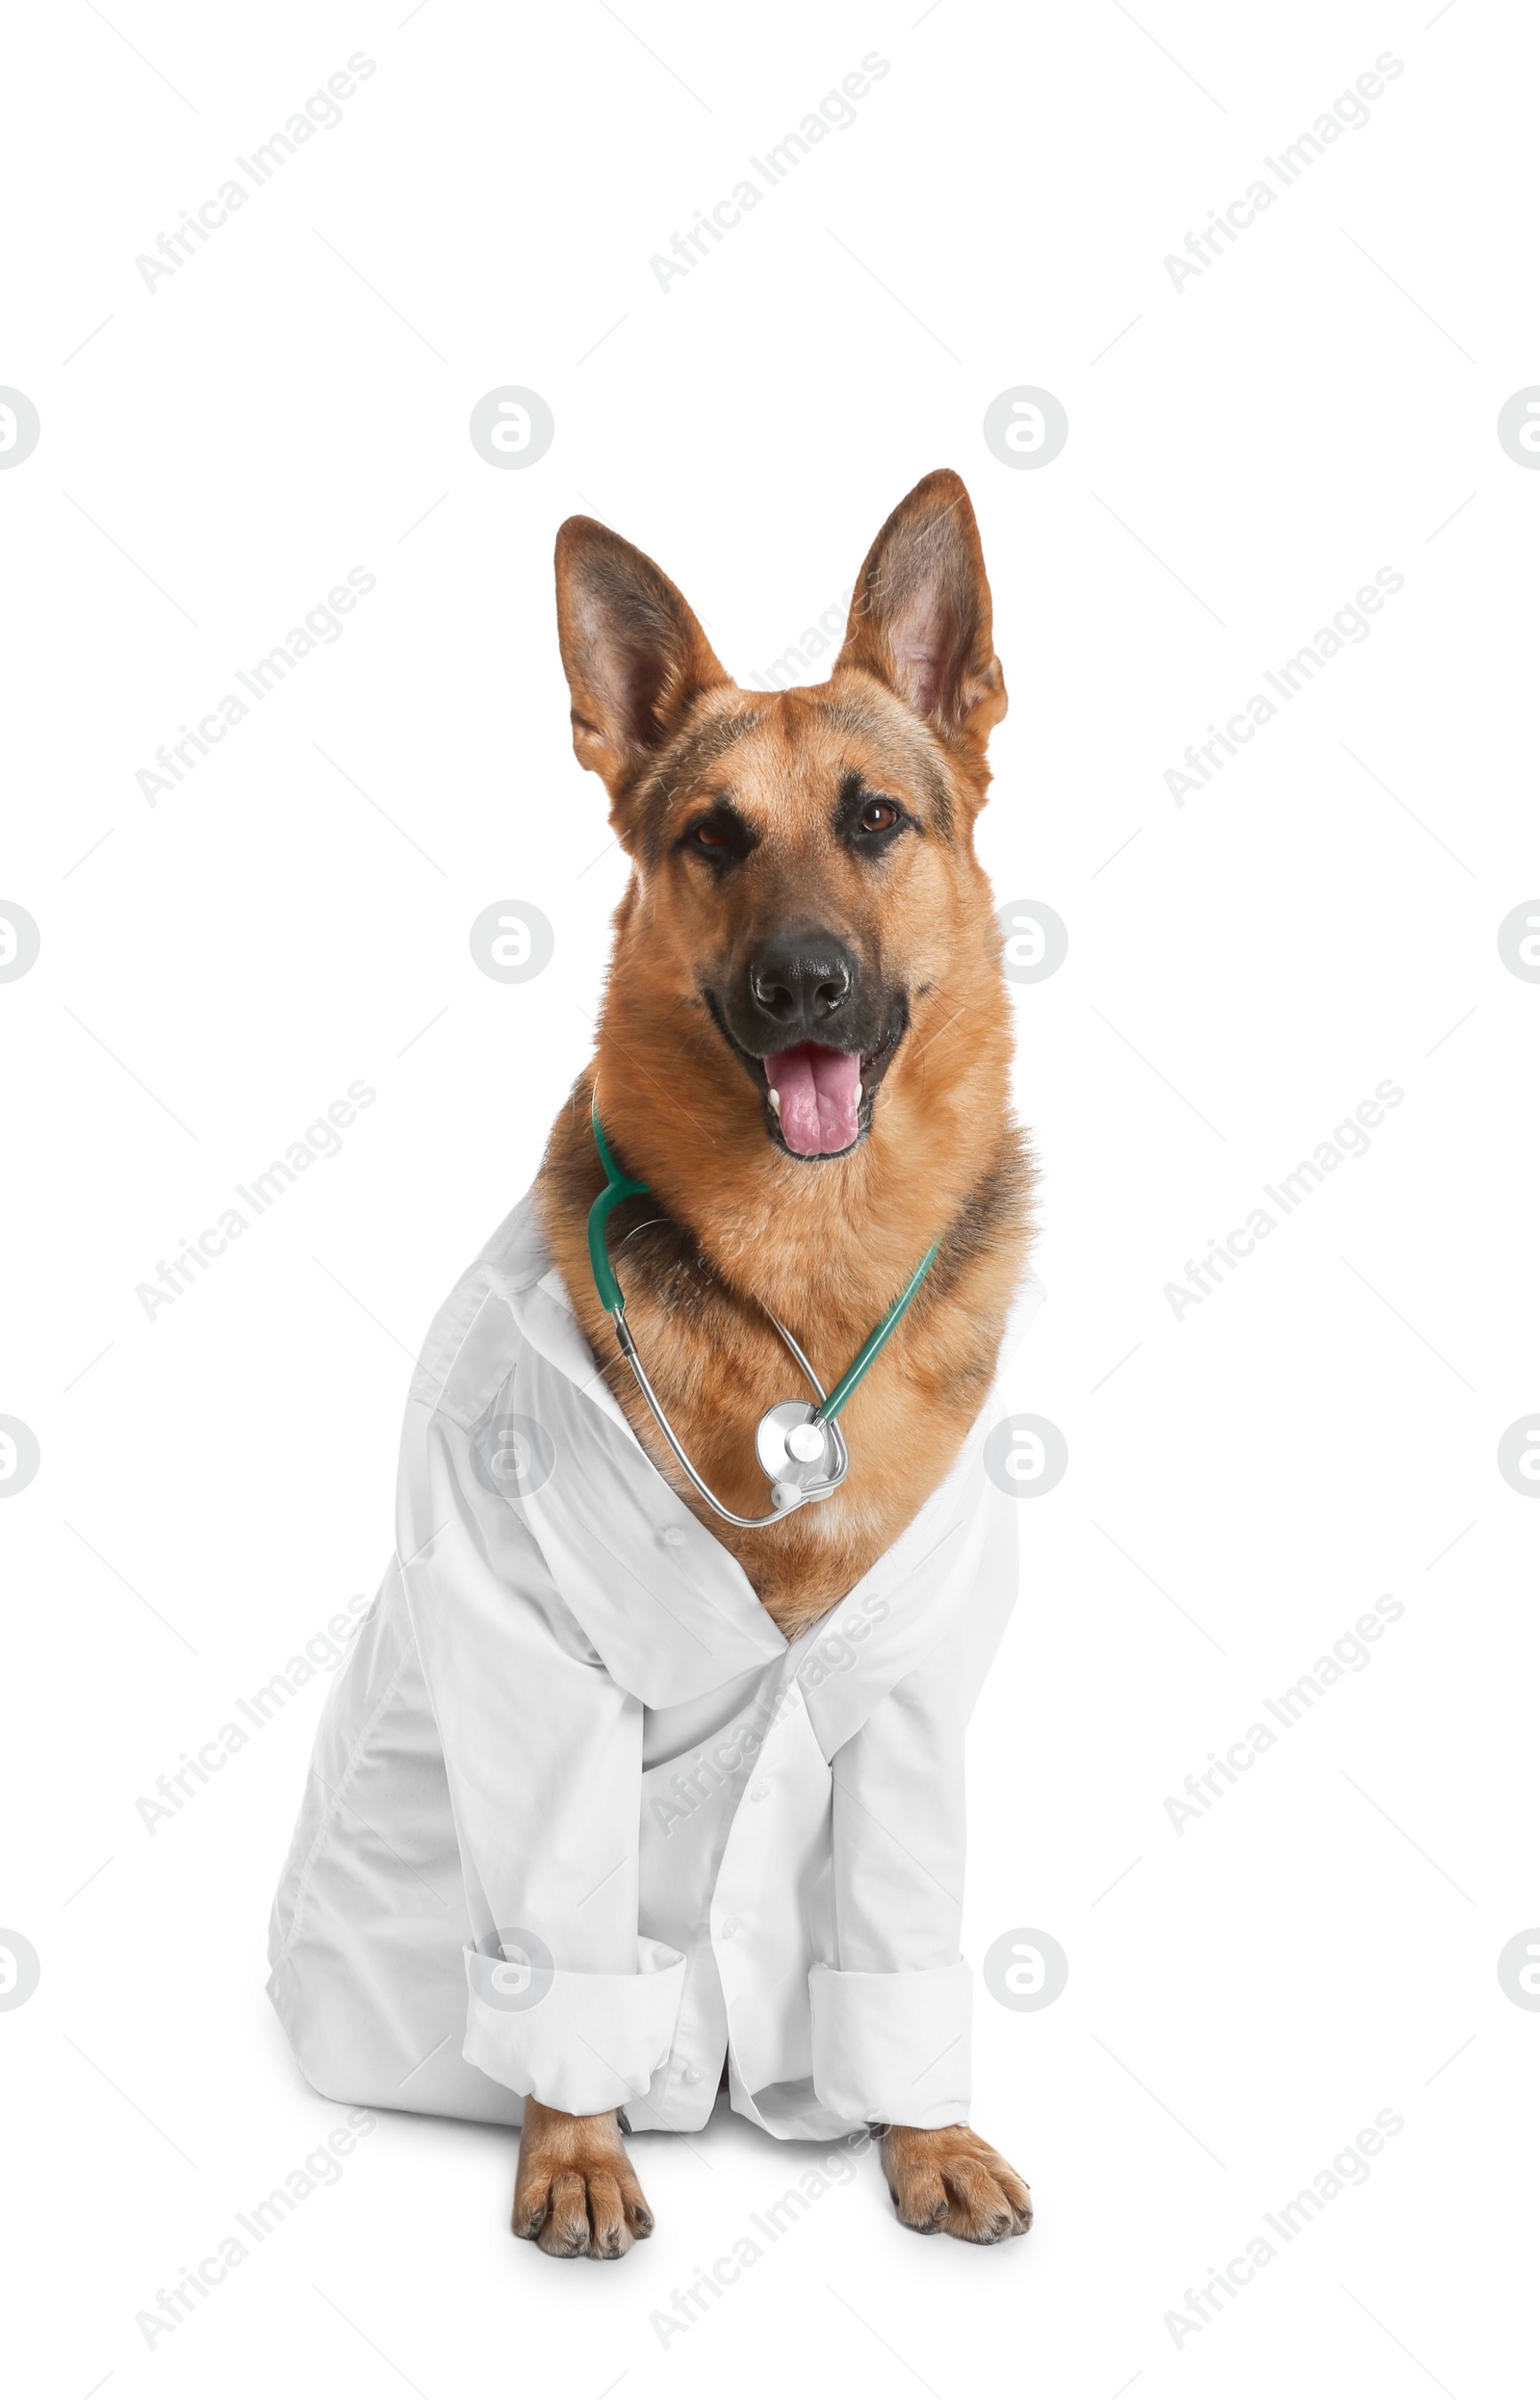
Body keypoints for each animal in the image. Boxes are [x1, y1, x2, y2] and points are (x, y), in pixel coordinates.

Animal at [515, 468, 1031, 2246]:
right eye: (714, 837)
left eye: (874, 819)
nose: (804, 982)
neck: (801, 1278)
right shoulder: (548, 1660)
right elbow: (567, 1914)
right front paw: (575, 2149)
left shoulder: (920, 1685)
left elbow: (894, 1917)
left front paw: (926, 2138)